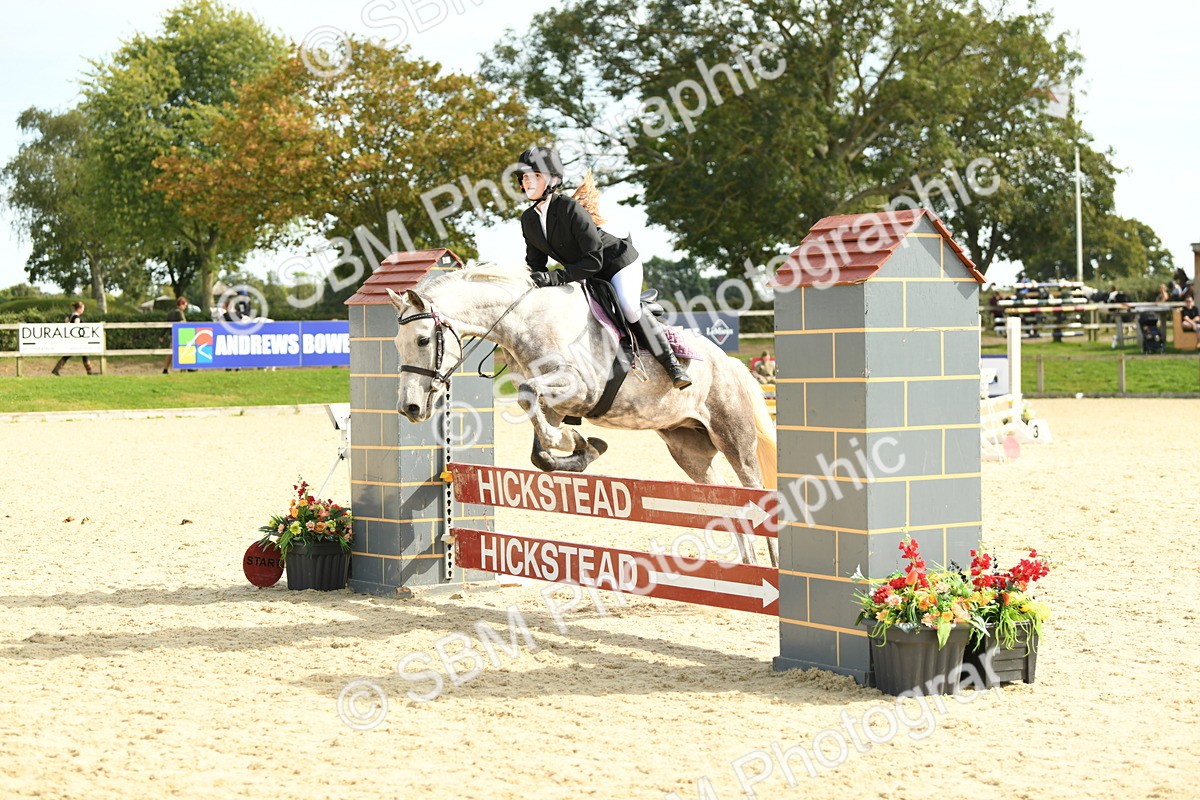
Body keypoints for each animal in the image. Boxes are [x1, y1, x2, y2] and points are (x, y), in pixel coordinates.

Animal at [386, 262, 778, 563]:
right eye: (396, 344)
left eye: (423, 340)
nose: (410, 408)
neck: (525, 321)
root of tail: (731, 363)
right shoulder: (556, 404)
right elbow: (540, 442)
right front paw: (581, 446)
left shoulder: (580, 387)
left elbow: (530, 399)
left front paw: (572, 442)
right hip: (688, 450)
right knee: (727, 505)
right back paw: (747, 569)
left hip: (734, 440)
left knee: (756, 495)